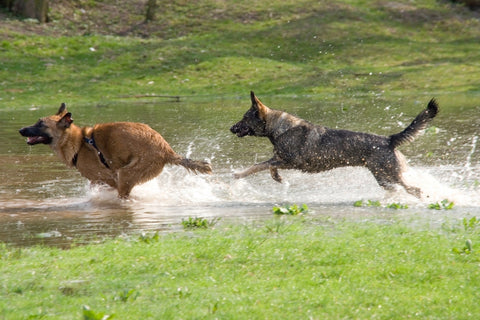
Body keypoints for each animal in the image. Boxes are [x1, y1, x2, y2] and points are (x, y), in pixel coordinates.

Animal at [20, 104, 212, 198]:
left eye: (40, 124)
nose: (21, 130)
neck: (79, 143)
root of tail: (167, 151)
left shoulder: (107, 178)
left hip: (126, 175)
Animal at [230, 91, 438, 198]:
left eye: (244, 118)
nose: (231, 128)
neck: (279, 128)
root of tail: (389, 139)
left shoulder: (289, 161)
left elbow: (258, 166)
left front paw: (238, 174)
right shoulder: (281, 160)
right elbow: (270, 168)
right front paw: (278, 178)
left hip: (389, 175)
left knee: (415, 190)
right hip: (383, 178)